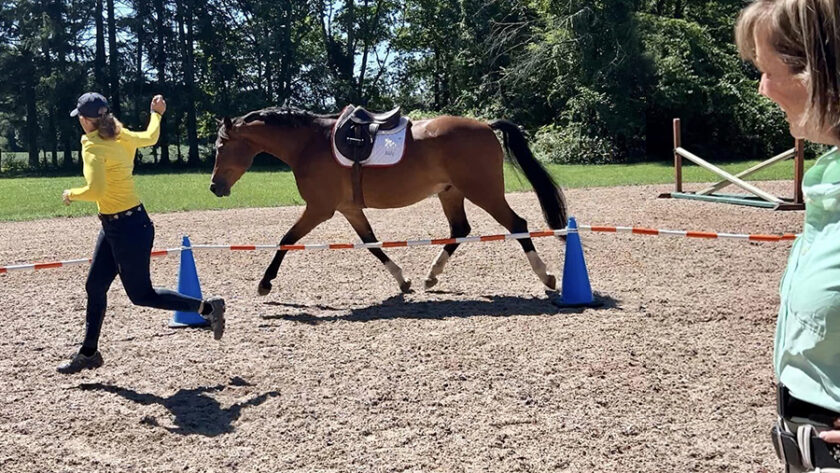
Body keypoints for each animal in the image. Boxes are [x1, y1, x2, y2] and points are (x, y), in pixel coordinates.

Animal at [208, 109, 572, 296]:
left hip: (484, 192)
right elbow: (372, 243)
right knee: (460, 229)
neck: (310, 143)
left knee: (517, 225)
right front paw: (402, 280)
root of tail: (485, 124)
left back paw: (547, 277)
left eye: (221, 147)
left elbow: (286, 240)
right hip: (451, 192)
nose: (214, 187)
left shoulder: (319, 209)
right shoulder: (349, 209)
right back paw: (431, 276)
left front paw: (265, 283)